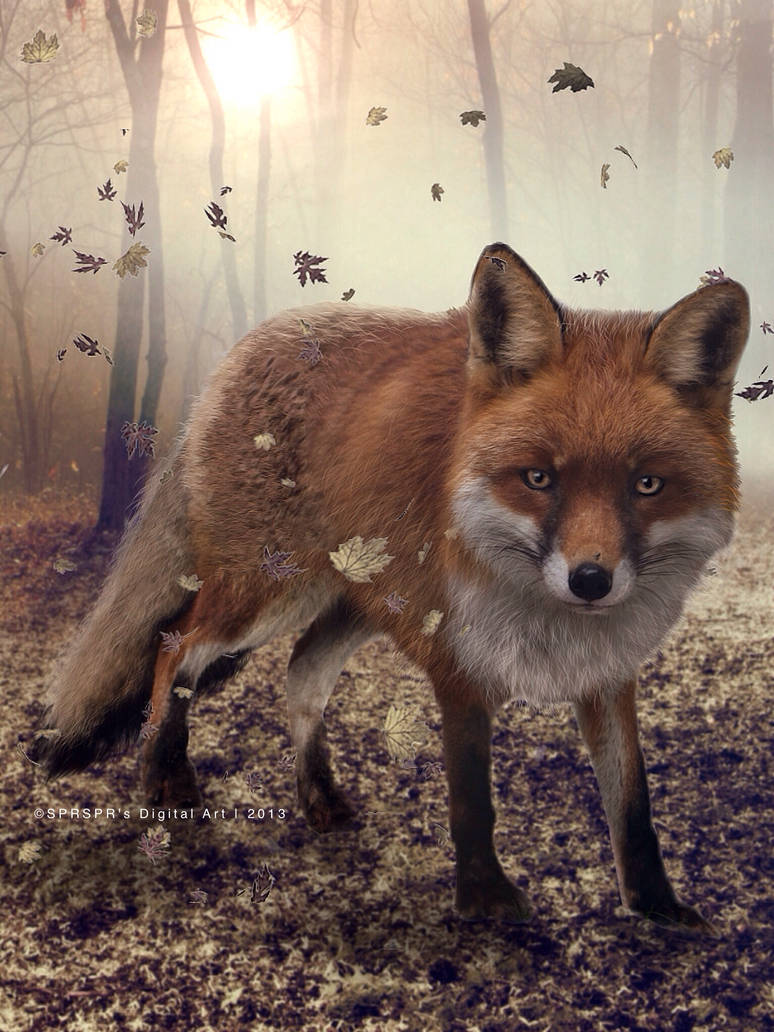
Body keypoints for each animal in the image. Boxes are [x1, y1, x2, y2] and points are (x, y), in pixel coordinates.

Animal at [34, 242, 750, 932]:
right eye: (538, 479)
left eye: (647, 485)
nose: (591, 580)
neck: (549, 619)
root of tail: (242, 352)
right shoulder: (458, 665)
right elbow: (472, 800)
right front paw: (484, 901)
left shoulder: (608, 677)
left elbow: (633, 806)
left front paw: (656, 905)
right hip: (263, 596)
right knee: (173, 642)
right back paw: (164, 780)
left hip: (356, 605)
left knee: (300, 671)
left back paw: (317, 798)